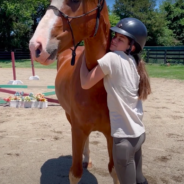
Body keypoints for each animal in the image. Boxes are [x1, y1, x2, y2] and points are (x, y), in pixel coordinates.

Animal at [29, 0, 119, 184]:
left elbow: (115, 170)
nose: (35, 46)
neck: (96, 87)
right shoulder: (78, 129)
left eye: (75, 1)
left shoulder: (112, 134)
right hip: (70, 117)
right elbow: (75, 173)